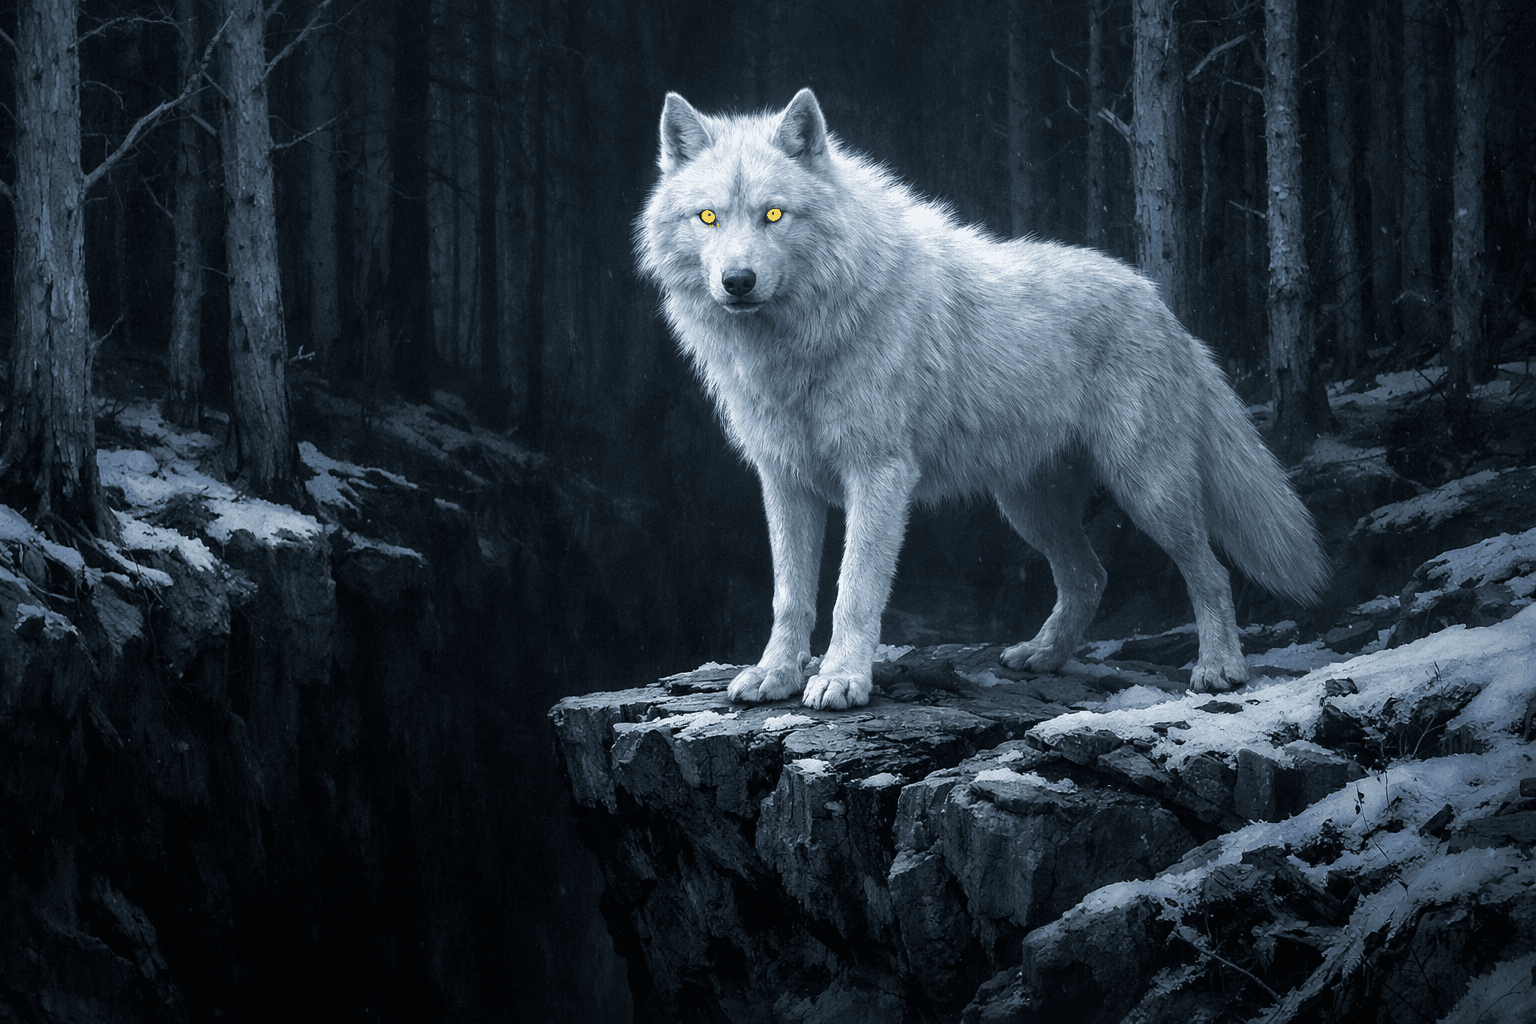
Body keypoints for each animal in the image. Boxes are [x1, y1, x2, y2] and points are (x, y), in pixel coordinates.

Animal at [637, 88, 1328, 711]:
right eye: (708, 217)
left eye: (774, 215)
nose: (737, 281)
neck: (800, 342)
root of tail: (1164, 308)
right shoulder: (784, 480)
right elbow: (791, 596)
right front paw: (774, 675)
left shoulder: (879, 474)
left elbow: (853, 590)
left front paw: (841, 680)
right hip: (1029, 507)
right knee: (1090, 576)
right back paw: (1043, 656)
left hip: (1147, 490)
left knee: (1208, 572)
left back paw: (1220, 669)